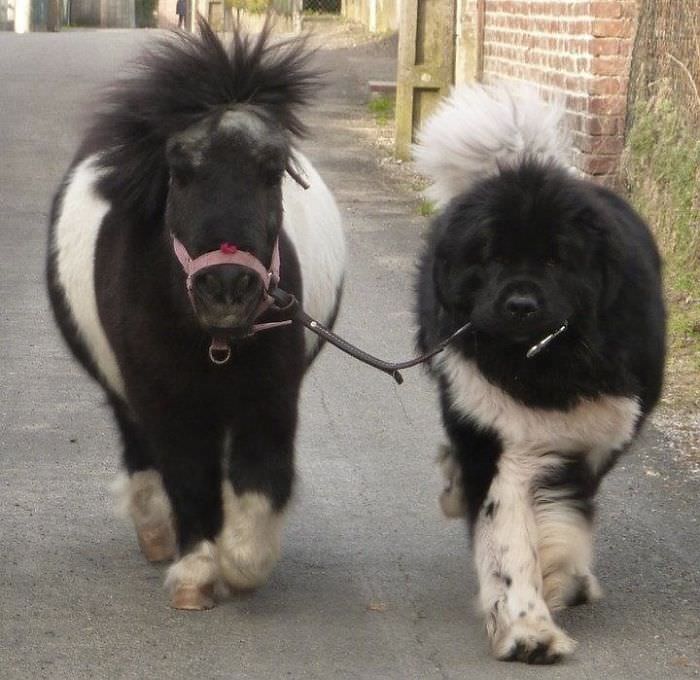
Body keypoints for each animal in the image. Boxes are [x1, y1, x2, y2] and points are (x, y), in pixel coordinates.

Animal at [45, 21, 346, 608]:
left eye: (271, 172)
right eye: (180, 174)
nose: (226, 288)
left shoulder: (271, 397)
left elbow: (260, 478)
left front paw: (240, 562)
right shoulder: (164, 397)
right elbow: (187, 476)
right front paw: (196, 573)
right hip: (125, 390)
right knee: (142, 452)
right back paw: (157, 533)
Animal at [416, 86, 668, 664]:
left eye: (556, 260)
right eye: (489, 257)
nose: (521, 304)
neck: (544, 366)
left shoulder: (593, 434)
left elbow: (563, 518)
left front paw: (559, 578)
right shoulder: (499, 436)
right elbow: (508, 538)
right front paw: (528, 630)